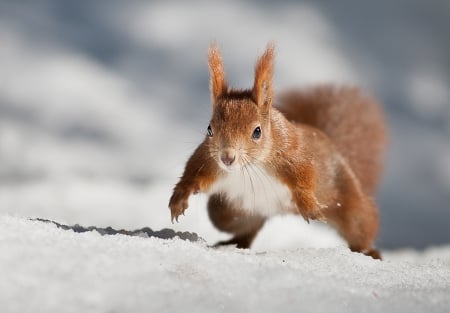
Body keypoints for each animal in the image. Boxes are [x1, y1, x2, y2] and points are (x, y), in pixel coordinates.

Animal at [169, 43, 386, 258]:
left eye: (257, 132)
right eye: (209, 129)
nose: (227, 158)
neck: (251, 166)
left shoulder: (291, 152)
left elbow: (304, 174)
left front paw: (308, 205)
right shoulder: (208, 159)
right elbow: (193, 174)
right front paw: (179, 198)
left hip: (352, 205)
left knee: (361, 227)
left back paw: (369, 252)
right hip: (229, 213)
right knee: (247, 229)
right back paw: (235, 243)